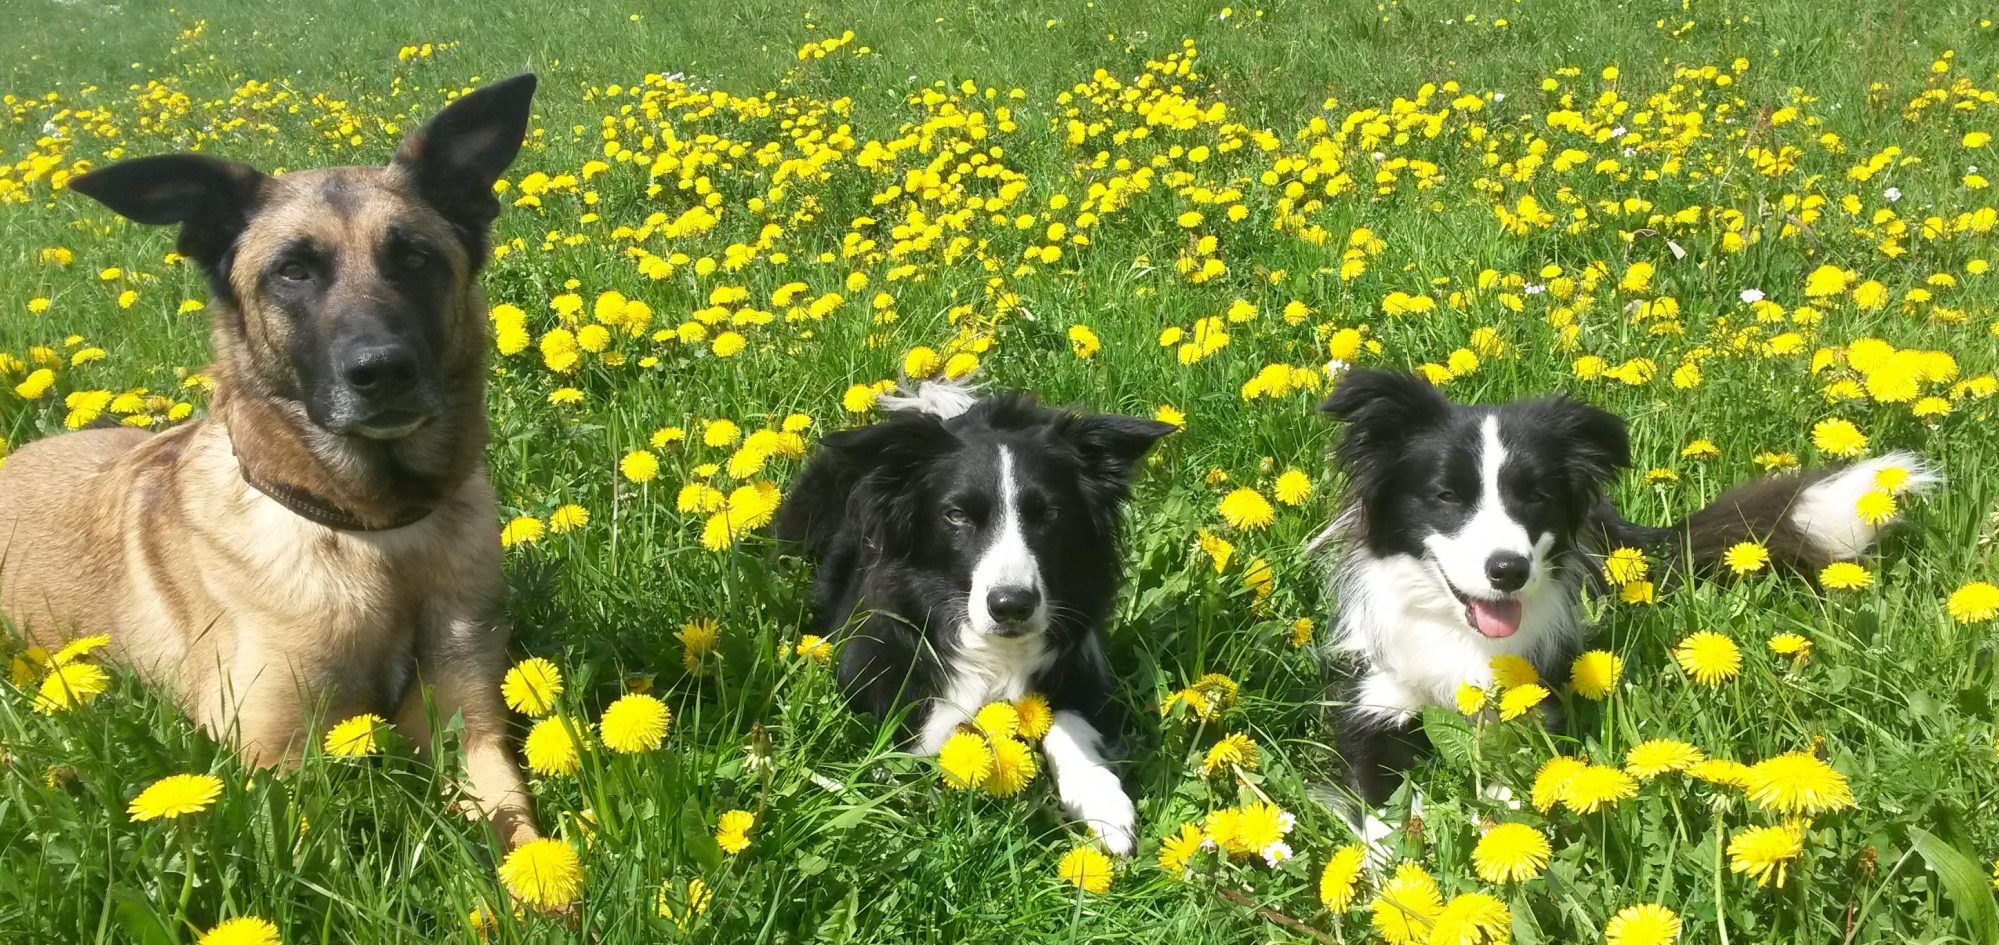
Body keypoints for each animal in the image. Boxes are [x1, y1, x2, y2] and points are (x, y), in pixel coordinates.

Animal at [0, 69, 539, 843]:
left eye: (414, 257)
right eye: (292, 272)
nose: (381, 371)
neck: (372, 531)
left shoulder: (472, 730)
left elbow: (522, 836)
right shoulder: (276, 764)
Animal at [1311, 369, 1935, 823]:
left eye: (1536, 497)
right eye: (1446, 495)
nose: (1509, 570)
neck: (1459, 633)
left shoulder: (1532, 702)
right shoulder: (1374, 702)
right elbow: (1379, 803)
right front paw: (1392, 872)